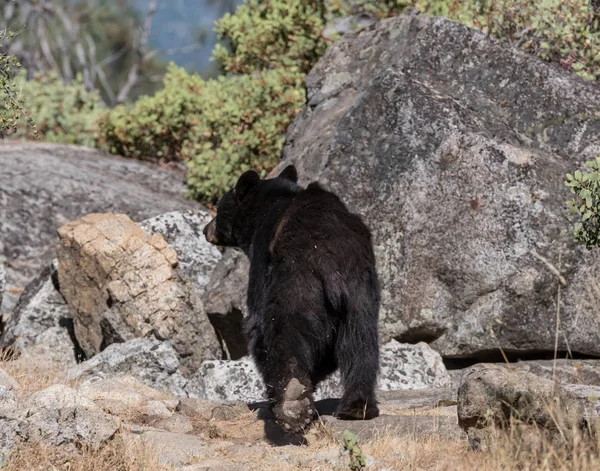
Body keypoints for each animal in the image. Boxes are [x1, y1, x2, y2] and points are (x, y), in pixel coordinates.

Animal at [203, 165, 380, 432]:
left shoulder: (261, 256)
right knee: (361, 340)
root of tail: (331, 258)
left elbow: (256, 321)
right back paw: (356, 406)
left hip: (297, 283)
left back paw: (292, 403)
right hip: (361, 291)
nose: (206, 229)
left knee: (283, 329)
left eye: (219, 206)